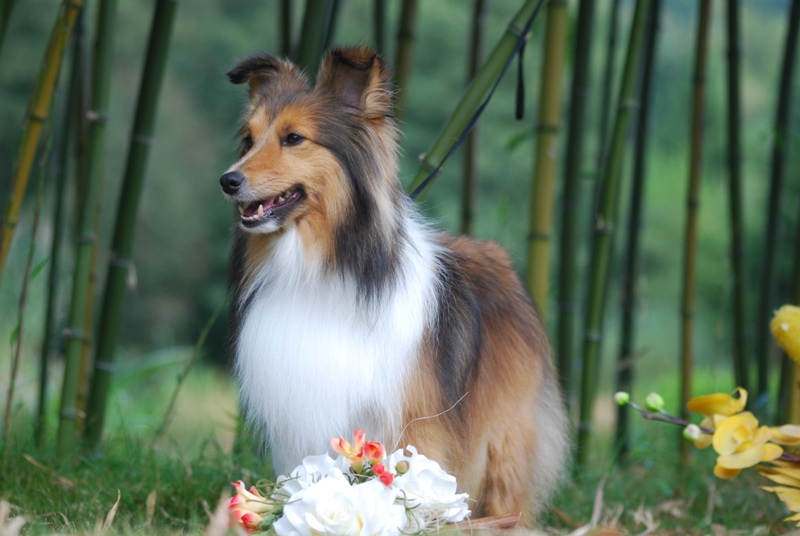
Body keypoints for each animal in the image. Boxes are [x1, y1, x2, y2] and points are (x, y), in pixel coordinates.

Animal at [219, 45, 568, 524]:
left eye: (293, 138)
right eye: (249, 140)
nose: (228, 180)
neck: (321, 267)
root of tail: (501, 260)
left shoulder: (416, 423)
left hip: (506, 435)